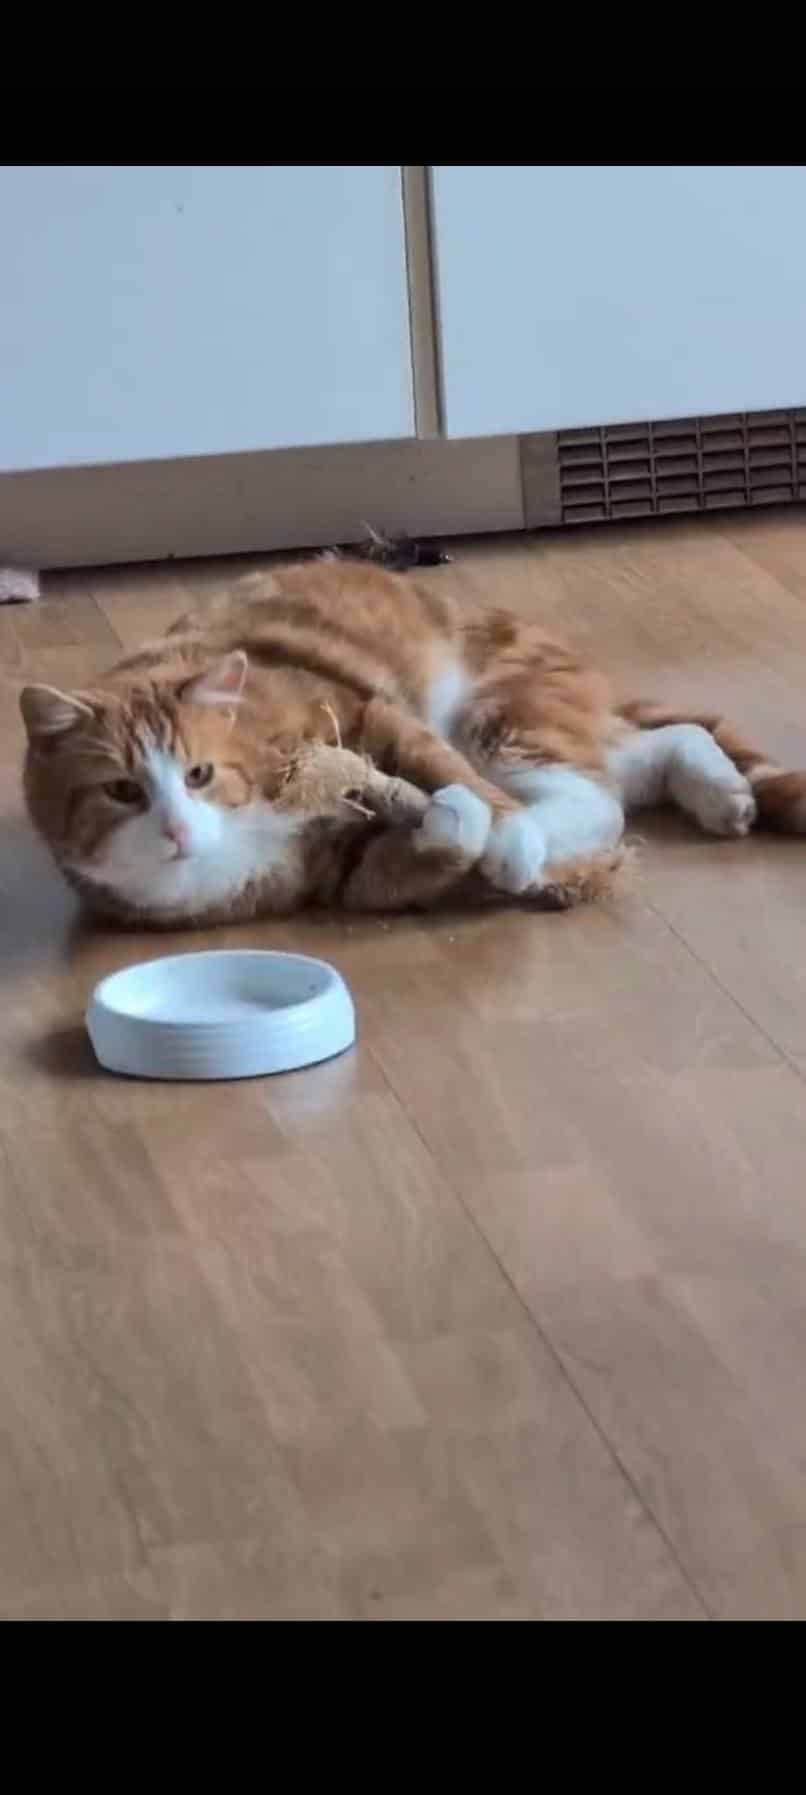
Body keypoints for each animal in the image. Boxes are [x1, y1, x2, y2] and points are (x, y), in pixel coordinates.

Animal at [19, 554, 806, 928]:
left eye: (199, 773)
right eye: (122, 790)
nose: (177, 828)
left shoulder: (369, 713)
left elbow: (448, 777)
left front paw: (502, 841)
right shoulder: (341, 875)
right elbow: (421, 850)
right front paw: (449, 830)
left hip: (498, 716)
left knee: (592, 790)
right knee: (650, 752)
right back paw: (721, 795)